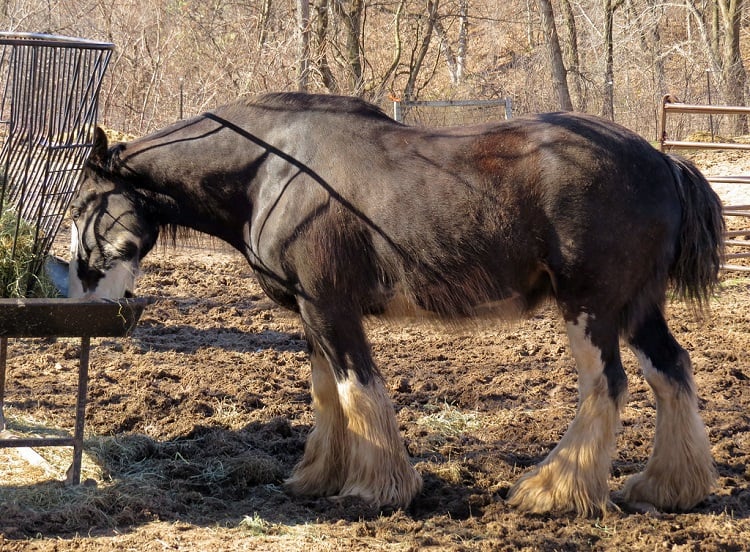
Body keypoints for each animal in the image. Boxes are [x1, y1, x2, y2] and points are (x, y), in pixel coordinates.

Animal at [67, 92, 724, 516]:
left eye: (82, 206)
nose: (81, 291)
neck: (273, 168)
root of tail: (664, 161)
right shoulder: (312, 314)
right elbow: (327, 392)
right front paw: (319, 477)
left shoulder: (330, 306)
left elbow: (359, 386)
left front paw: (374, 490)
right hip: (637, 309)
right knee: (672, 373)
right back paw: (667, 487)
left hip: (591, 308)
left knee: (608, 385)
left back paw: (553, 492)